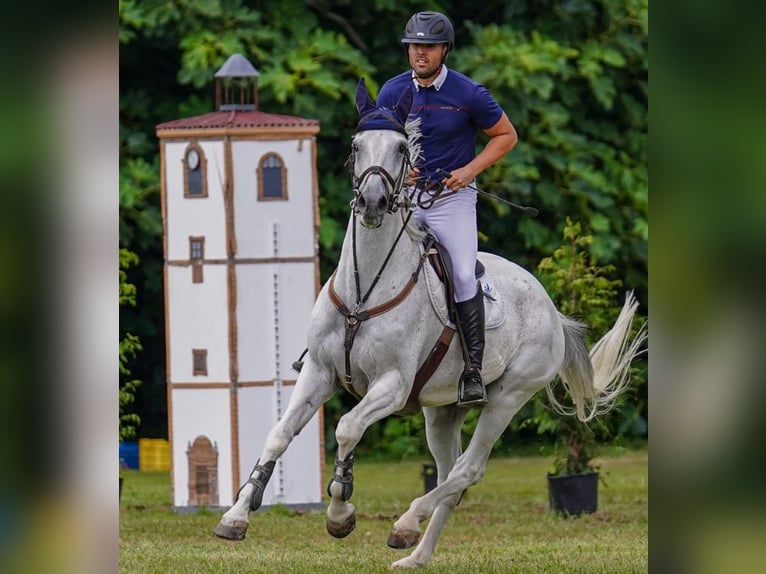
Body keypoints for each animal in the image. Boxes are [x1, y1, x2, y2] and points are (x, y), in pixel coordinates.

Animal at [213, 78, 647, 569]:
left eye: (402, 147)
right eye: (356, 145)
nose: (373, 202)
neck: (365, 292)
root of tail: (552, 310)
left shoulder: (392, 384)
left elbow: (347, 428)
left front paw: (340, 513)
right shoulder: (319, 373)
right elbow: (279, 434)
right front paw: (235, 517)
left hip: (507, 396)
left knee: (468, 469)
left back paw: (405, 522)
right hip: (442, 411)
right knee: (449, 475)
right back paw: (414, 554)